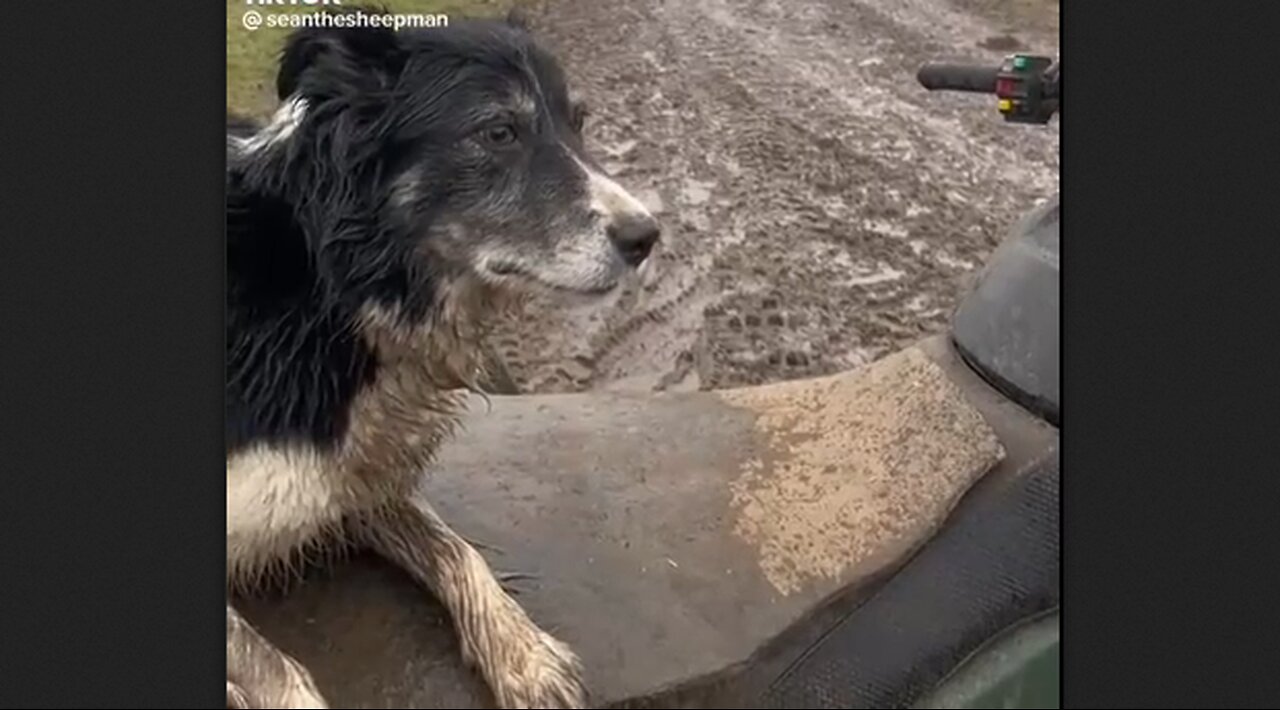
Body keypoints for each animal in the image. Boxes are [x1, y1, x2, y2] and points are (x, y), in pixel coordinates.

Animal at [226, 11, 660, 710]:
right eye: (499, 131)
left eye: (579, 122)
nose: (646, 236)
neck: (333, 291)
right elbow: (267, 662)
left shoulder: (358, 475)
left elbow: (457, 550)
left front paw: (525, 655)